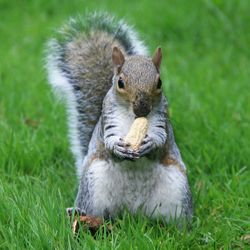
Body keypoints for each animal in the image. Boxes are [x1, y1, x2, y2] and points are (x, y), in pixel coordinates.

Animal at [46, 12, 192, 227]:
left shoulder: (161, 119)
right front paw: (118, 147)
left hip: (177, 191)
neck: (132, 118)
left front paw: (150, 143)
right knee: (95, 211)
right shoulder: (109, 120)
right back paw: (78, 213)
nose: (142, 108)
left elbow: (160, 138)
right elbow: (110, 140)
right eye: (120, 83)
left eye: (159, 82)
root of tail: (133, 211)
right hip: (94, 184)